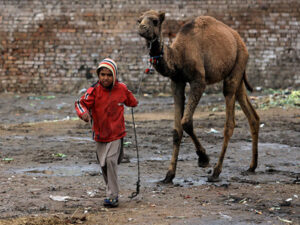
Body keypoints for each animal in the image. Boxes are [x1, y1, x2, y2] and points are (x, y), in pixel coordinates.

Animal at [137, 10, 258, 183]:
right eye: (139, 20)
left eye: (155, 21)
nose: (142, 29)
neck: (179, 56)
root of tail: (239, 39)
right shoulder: (177, 82)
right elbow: (176, 130)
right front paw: (169, 175)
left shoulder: (198, 81)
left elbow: (186, 122)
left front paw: (203, 159)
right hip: (239, 73)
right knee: (251, 114)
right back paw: (252, 166)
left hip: (237, 65)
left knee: (230, 121)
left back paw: (216, 172)